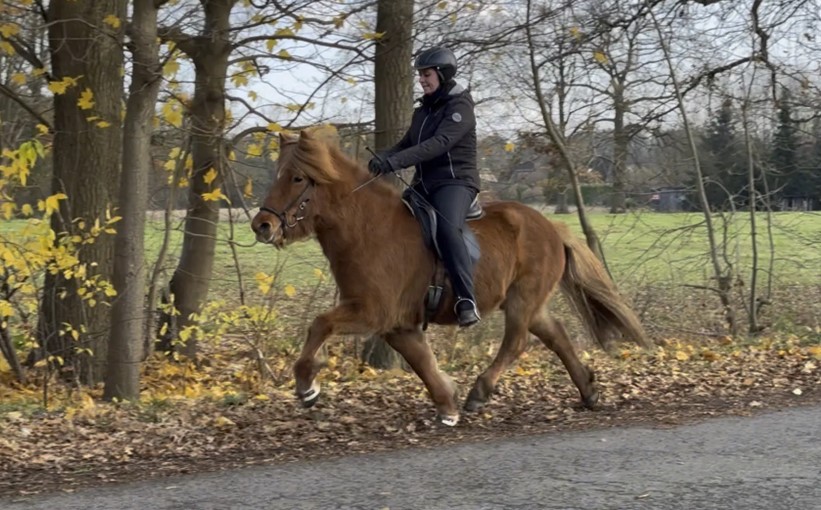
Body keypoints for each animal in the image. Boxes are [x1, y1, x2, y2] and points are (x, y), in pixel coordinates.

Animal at [251, 128, 651, 427]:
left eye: (297, 178)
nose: (262, 225)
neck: (368, 229)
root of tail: (552, 227)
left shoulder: (372, 313)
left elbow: (320, 324)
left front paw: (307, 385)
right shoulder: (398, 324)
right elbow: (421, 361)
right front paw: (447, 403)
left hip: (522, 300)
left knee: (517, 342)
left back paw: (481, 392)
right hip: (528, 302)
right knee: (556, 337)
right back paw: (588, 391)